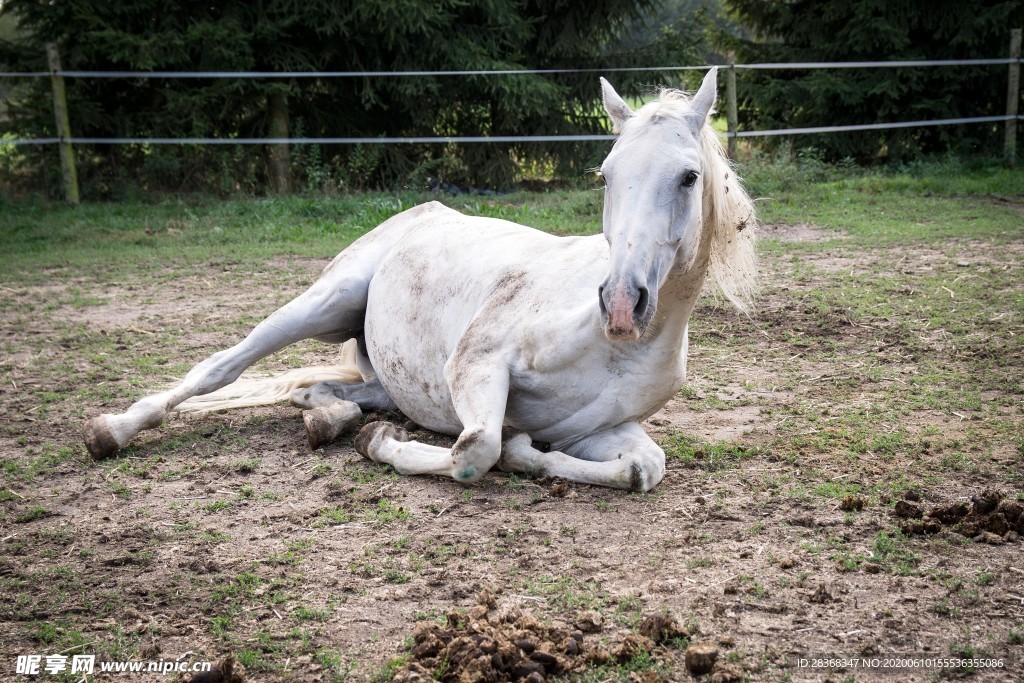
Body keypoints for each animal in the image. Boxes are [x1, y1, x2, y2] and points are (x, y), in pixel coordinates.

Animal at [82, 68, 757, 492]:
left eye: (689, 177)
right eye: (606, 174)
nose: (620, 305)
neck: (615, 347)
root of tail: (421, 211)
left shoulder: (601, 429)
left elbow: (644, 468)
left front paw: (526, 451)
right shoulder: (476, 363)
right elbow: (475, 451)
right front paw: (383, 447)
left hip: (384, 374)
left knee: (327, 392)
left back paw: (325, 419)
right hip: (323, 303)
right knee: (219, 368)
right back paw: (111, 431)